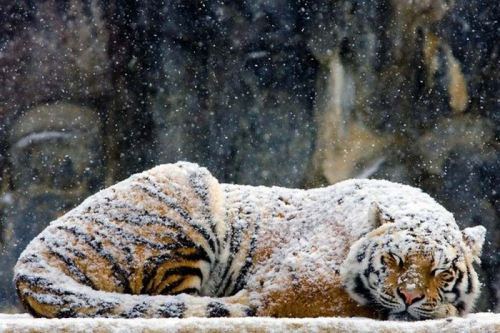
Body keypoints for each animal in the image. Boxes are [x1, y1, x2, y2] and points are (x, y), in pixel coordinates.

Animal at [14, 161, 484, 320]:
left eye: (441, 272)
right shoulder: (288, 286)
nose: (408, 296)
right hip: (190, 187)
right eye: (393, 261)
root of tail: (31, 256)